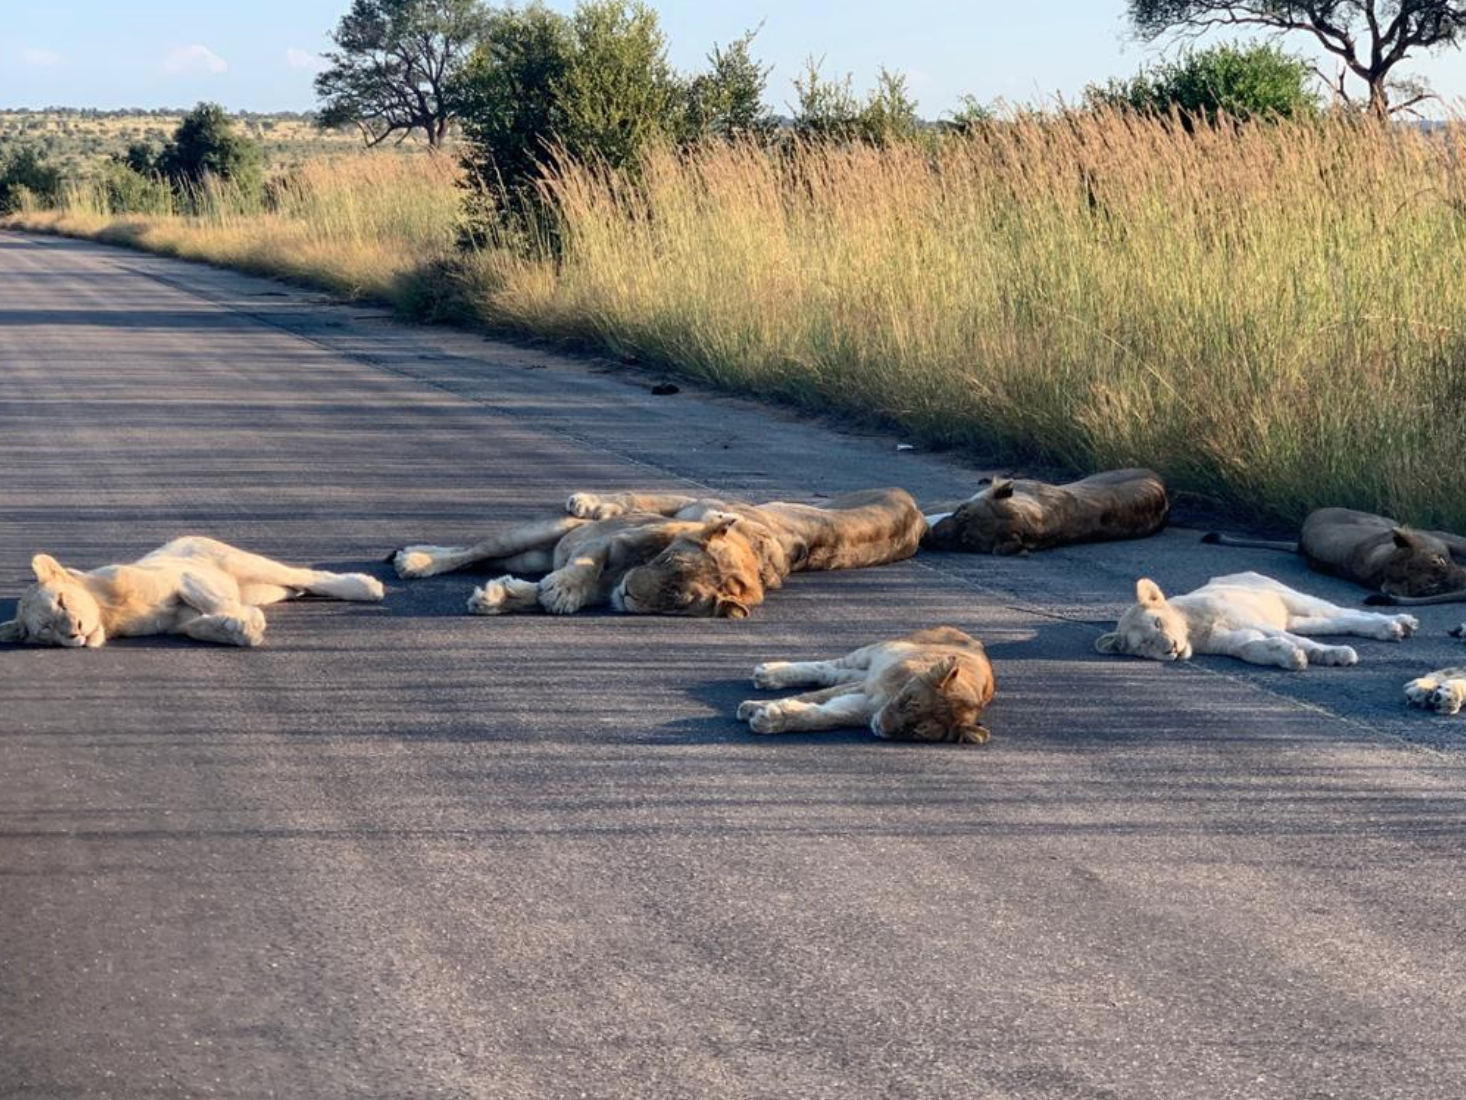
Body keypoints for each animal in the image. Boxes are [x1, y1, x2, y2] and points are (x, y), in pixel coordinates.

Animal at [0, 536, 384, 648]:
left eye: (62, 601)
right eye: (46, 630)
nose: (75, 632)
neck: (110, 614)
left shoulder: (180, 577)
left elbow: (211, 599)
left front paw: (245, 621)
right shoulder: (175, 621)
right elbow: (198, 627)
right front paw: (236, 628)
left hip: (242, 563)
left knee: (307, 575)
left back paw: (366, 586)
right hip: (265, 589)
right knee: (293, 586)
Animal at [735, 626, 996, 744]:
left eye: (916, 730)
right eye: (907, 702)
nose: (882, 726)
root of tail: (970, 637)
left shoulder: (864, 706)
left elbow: (824, 716)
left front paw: (769, 717)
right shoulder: (868, 689)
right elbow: (811, 697)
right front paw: (752, 707)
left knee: (832, 673)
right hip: (874, 652)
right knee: (826, 667)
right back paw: (768, 674)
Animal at [1095, 571, 1418, 670]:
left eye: (1158, 624)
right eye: (1145, 645)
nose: (1171, 648)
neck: (1193, 630)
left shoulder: (1247, 620)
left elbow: (1300, 642)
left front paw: (1334, 655)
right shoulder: (1233, 641)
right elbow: (1253, 649)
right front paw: (1291, 658)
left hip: (1293, 597)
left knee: (1349, 613)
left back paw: (1397, 624)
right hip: (1296, 618)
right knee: (1336, 624)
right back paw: (1395, 628)